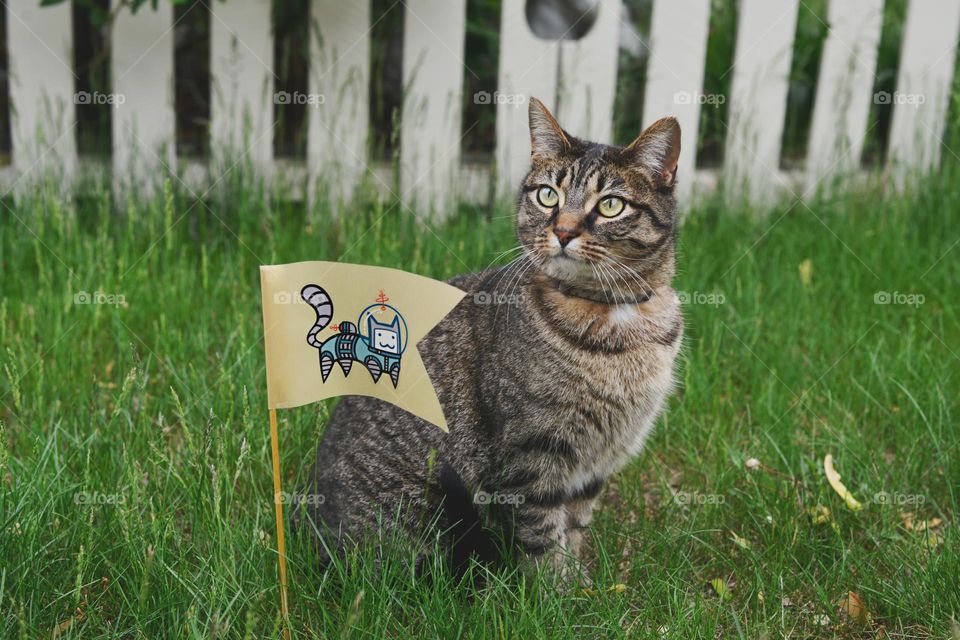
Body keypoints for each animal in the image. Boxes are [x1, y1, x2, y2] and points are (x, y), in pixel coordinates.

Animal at [298, 96, 684, 580]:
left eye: (611, 205)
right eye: (548, 195)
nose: (563, 231)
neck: (617, 318)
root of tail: (313, 536)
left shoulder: (597, 461)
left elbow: (576, 523)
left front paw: (578, 581)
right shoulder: (532, 451)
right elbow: (543, 533)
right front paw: (554, 590)